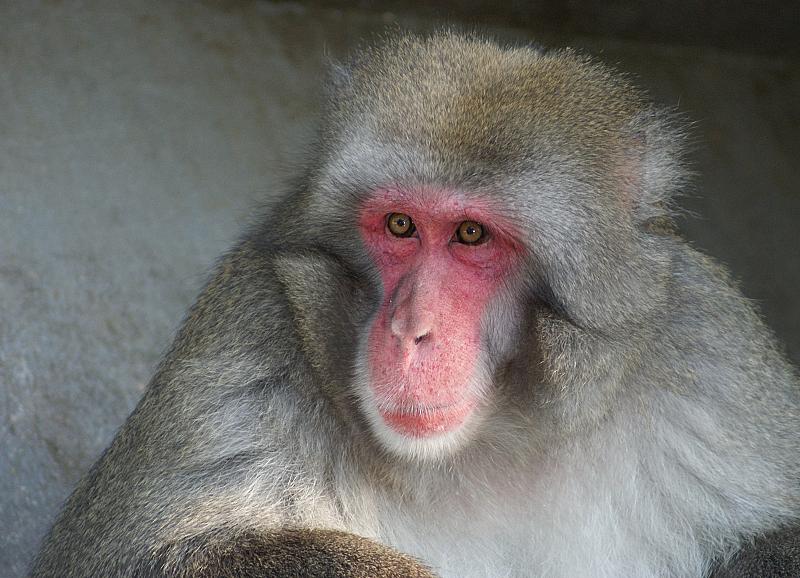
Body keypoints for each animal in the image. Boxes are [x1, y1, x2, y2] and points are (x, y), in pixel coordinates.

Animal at [30, 31, 800, 578]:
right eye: (400, 225)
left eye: (471, 235)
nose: (410, 329)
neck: (490, 442)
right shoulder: (250, 332)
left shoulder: (703, 343)